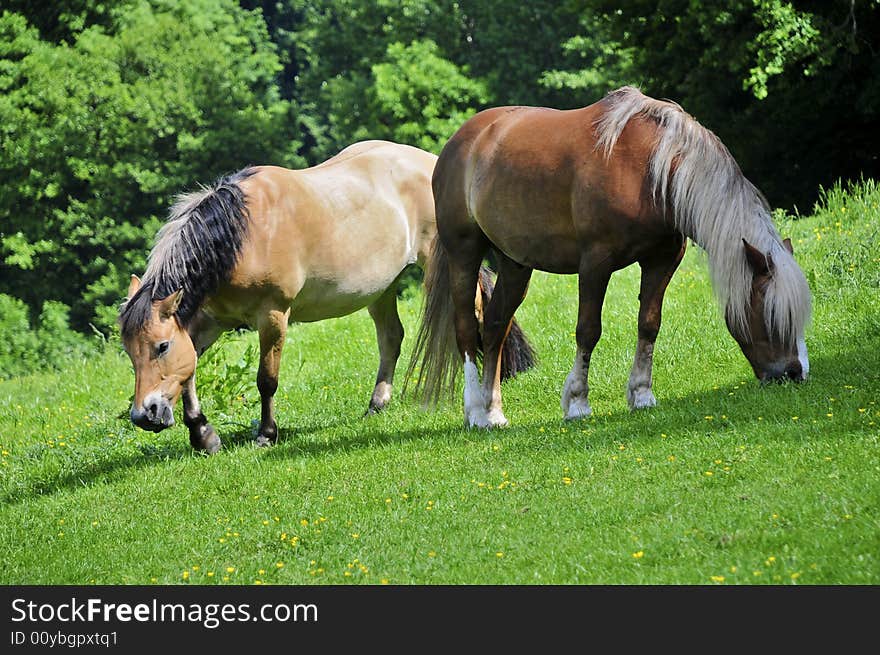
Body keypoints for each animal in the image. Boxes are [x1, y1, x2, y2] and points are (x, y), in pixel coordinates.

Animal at [119, 141, 532, 454]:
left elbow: (266, 380)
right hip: (382, 287)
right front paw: (203, 435)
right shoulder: (209, 321)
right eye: (130, 351)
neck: (242, 235)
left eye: (160, 346)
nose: (144, 415)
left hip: (444, 265)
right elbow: (187, 372)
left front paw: (266, 435)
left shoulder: (273, 316)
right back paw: (377, 404)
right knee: (391, 338)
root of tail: (435, 163)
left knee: (474, 316)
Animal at [410, 87, 816, 430]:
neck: (650, 169)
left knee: (495, 326)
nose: (794, 374)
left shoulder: (662, 259)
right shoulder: (596, 263)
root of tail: (459, 142)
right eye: (770, 313)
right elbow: (588, 330)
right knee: (467, 329)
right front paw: (577, 403)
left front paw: (642, 395)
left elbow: (649, 324)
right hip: (464, 252)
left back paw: (494, 412)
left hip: (515, 263)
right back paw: (476, 412)